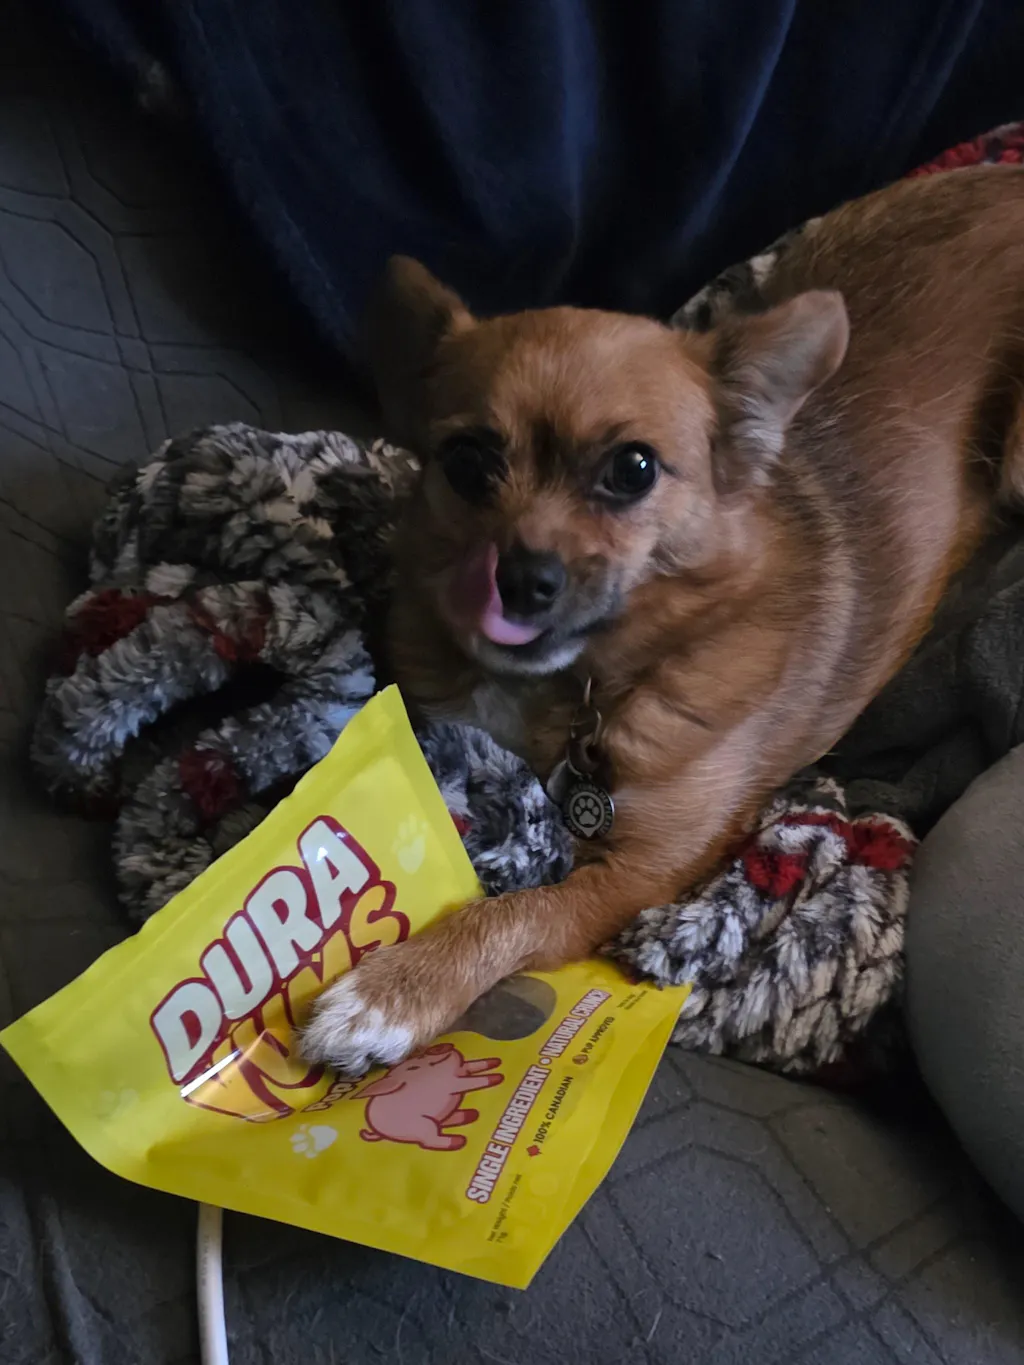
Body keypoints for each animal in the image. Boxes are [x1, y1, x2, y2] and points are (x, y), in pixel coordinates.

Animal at [302, 164, 1024, 1075]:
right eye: (467, 463)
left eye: (634, 469)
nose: (521, 579)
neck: (571, 695)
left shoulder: (635, 876)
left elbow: (513, 913)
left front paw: (395, 990)